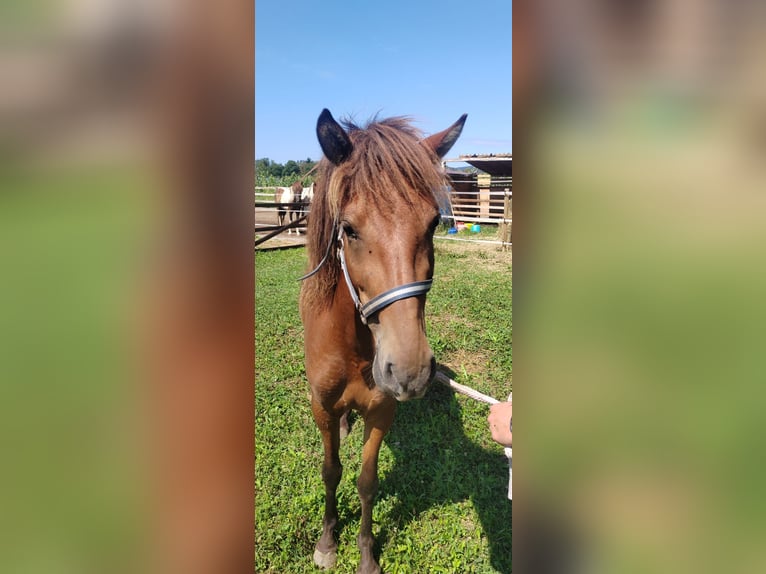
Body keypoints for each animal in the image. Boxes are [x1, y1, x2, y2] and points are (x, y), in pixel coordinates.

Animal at [300, 109, 468, 574]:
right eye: (349, 229)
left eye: (433, 224)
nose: (410, 370)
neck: (354, 348)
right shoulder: (321, 406)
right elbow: (331, 470)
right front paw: (327, 541)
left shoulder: (383, 410)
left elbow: (366, 481)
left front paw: (365, 552)